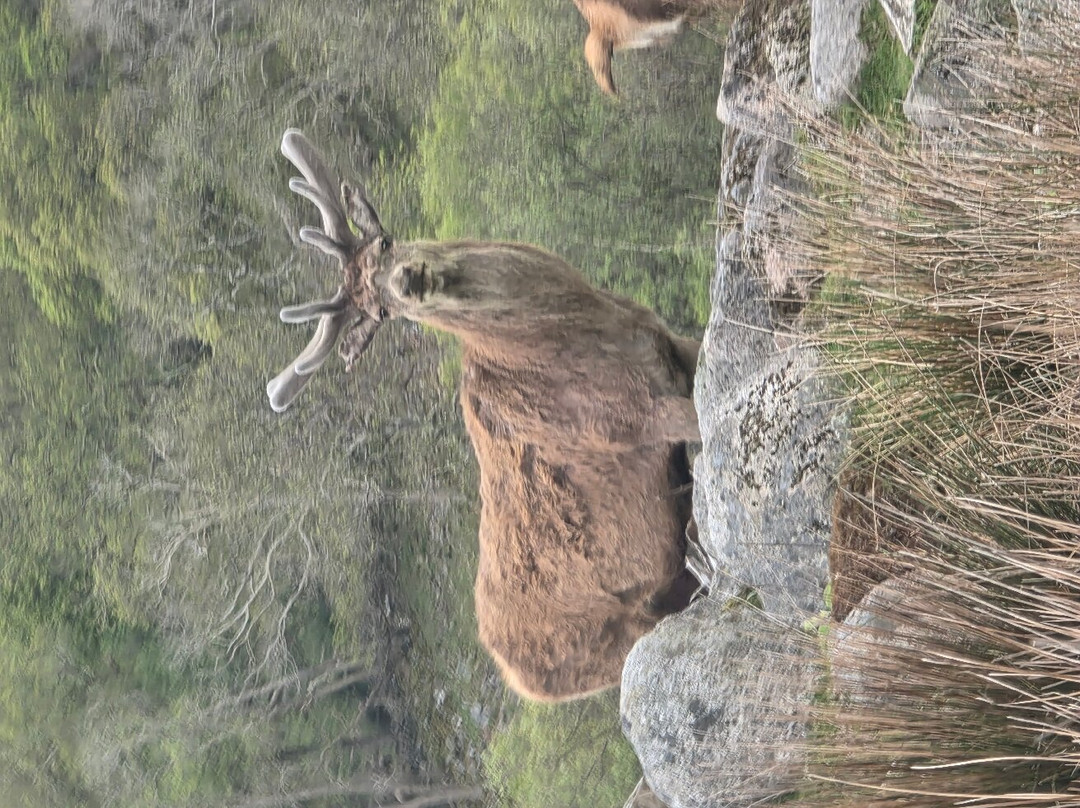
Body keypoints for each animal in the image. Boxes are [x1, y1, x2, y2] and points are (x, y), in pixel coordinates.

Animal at [266, 129, 702, 701]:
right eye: (381, 311)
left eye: (386, 242)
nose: (410, 280)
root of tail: (518, 677)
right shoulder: (628, 420)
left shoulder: (671, 345)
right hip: (626, 631)